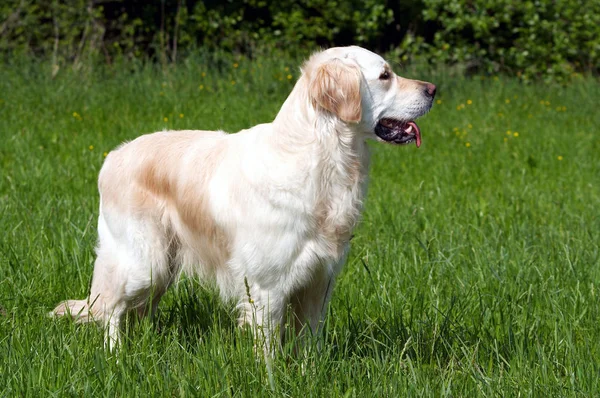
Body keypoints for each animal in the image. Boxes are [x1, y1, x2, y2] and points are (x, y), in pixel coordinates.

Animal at [52, 45, 436, 352]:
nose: (433, 89)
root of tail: (113, 156)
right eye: (385, 75)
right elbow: (268, 352)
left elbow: (309, 344)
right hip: (143, 262)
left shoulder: (319, 282)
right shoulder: (267, 287)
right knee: (111, 309)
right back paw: (116, 356)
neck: (323, 158)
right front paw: (273, 381)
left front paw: (309, 373)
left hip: (162, 269)